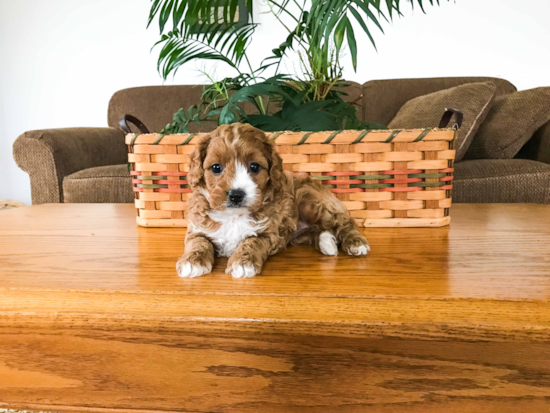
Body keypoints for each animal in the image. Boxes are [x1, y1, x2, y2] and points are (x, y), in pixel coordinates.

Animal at [177, 122, 370, 276]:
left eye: (254, 167)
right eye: (216, 167)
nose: (236, 194)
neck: (234, 216)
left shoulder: (269, 233)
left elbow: (251, 241)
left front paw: (243, 263)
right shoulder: (197, 228)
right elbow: (198, 242)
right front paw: (192, 262)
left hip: (311, 202)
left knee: (345, 222)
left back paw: (356, 243)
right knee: (317, 231)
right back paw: (327, 242)